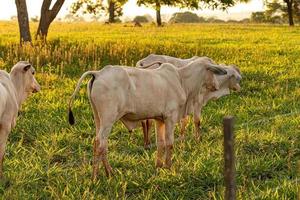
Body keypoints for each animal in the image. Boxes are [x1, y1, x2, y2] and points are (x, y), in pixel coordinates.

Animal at [68, 59, 227, 180]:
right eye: (212, 71)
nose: (216, 86)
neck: (182, 80)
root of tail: (98, 73)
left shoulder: (159, 119)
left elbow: (160, 143)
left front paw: (159, 165)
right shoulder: (170, 117)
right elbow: (169, 143)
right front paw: (169, 166)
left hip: (98, 118)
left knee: (100, 143)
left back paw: (108, 173)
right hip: (108, 118)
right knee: (100, 143)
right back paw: (96, 177)